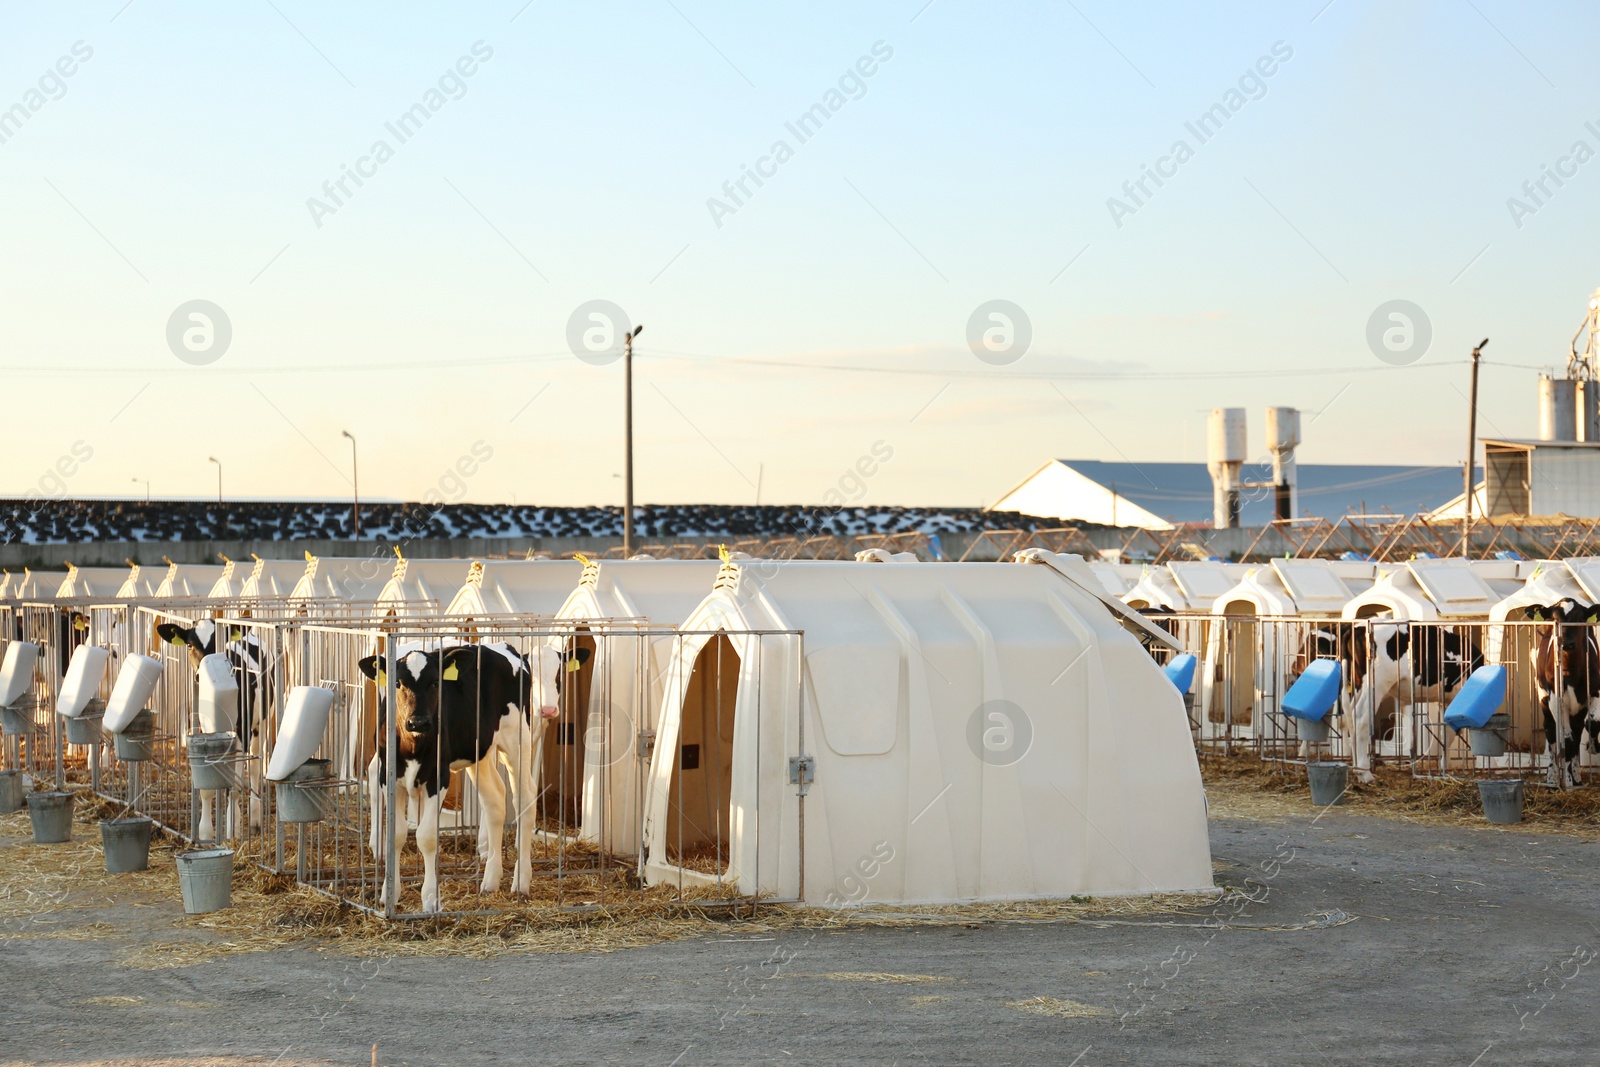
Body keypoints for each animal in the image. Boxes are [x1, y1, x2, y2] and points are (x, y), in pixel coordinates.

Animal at [360, 639, 592, 915]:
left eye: (436, 682)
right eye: (397, 683)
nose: (418, 721)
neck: (412, 745)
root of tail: (506, 648)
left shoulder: (438, 776)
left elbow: (426, 837)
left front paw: (430, 899)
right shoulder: (390, 776)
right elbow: (396, 836)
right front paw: (389, 894)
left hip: (517, 742)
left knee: (524, 799)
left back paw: (521, 882)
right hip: (480, 752)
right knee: (495, 801)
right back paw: (490, 880)